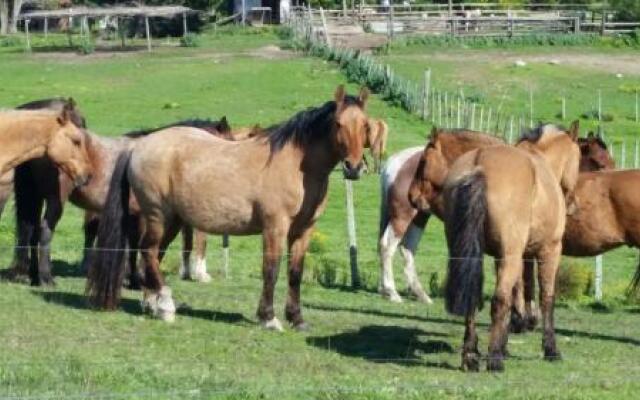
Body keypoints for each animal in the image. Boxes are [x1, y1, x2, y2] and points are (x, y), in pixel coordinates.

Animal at [89, 86, 370, 330]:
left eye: (365, 125)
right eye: (338, 124)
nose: (354, 167)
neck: (296, 165)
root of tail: (139, 146)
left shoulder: (304, 231)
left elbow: (295, 273)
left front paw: (297, 319)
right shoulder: (275, 228)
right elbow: (271, 270)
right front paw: (269, 318)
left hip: (173, 221)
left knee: (154, 255)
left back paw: (152, 304)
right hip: (158, 216)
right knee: (148, 252)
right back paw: (166, 306)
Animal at [408, 122, 584, 372]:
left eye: (423, 161)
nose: (411, 197)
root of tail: (479, 165)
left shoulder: (509, 257)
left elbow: (518, 293)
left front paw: (507, 340)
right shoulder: (548, 251)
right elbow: (545, 298)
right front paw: (550, 349)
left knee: (473, 298)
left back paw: (471, 356)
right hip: (513, 256)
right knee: (499, 300)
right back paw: (494, 360)